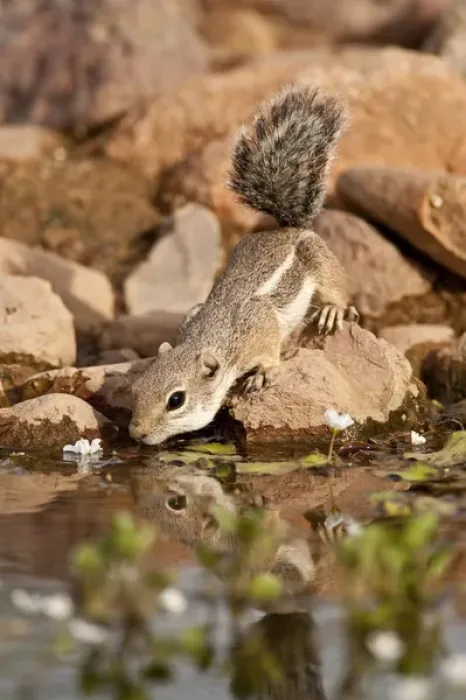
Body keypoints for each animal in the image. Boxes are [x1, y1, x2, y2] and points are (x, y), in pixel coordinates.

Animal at [129, 85, 359, 446]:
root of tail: (286, 228)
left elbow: (270, 356)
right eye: (136, 388)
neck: (213, 337)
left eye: (176, 400)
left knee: (337, 291)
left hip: (320, 261)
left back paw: (331, 311)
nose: (136, 433)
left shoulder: (261, 330)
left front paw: (262, 374)